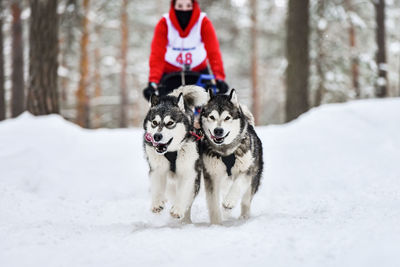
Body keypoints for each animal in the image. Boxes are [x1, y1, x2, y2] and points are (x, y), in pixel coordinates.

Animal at [143, 86, 206, 224]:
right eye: (154, 122)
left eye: (170, 123)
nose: (157, 136)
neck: (172, 151)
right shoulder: (157, 169)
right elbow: (157, 187)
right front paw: (157, 203)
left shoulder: (189, 171)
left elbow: (183, 193)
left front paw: (177, 209)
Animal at [200, 89, 262, 224]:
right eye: (211, 117)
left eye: (227, 117)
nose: (218, 130)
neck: (225, 151)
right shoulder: (212, 175)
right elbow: (213, 202)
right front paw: (216, 223)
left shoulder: (247, 170)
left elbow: (237, 185)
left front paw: (229, 202)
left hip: (253, 178)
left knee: (246, 200)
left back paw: (243, 216)